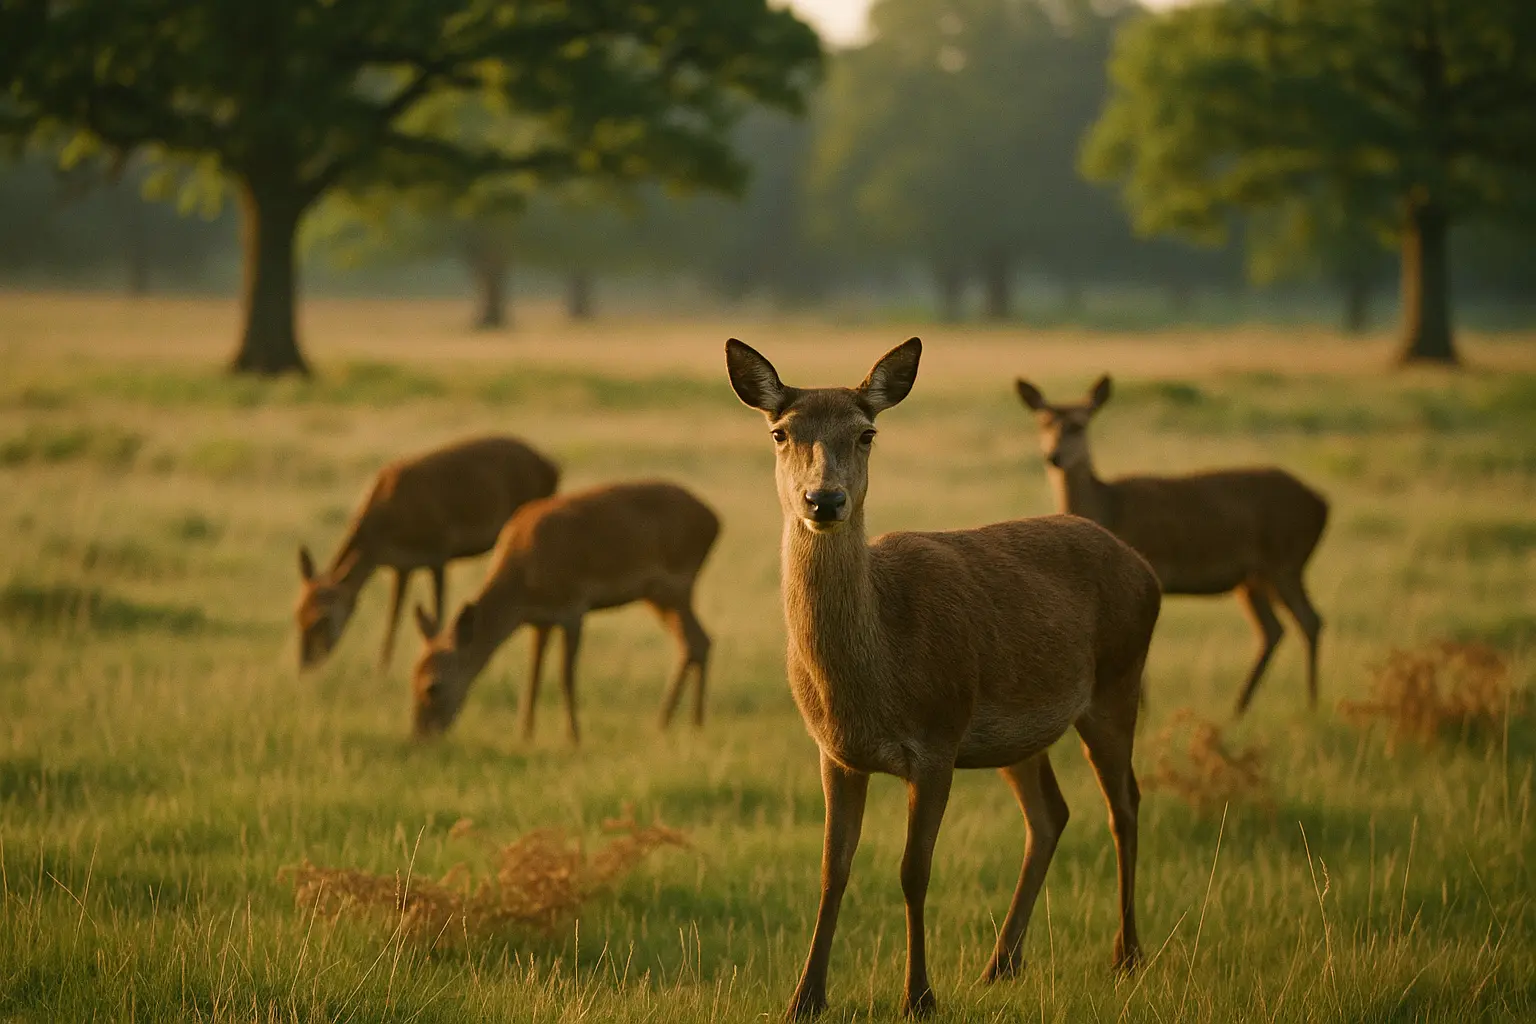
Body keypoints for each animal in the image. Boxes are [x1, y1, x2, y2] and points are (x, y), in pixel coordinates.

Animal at [296, 435, 559, 673]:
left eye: (322, 619)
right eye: (298, 612)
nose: (306, 665)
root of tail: (553, 466)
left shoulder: (439, 550)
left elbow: (439, 612)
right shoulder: (402, 565)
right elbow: (394, 617)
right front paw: (382, 670)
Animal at [409, 480, 718, 742]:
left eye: (433, 686)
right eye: (412, 675)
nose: (420, 736)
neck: (523, 582)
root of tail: (715, 521)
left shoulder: (573, 607)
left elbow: (565, 675)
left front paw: (573, 737)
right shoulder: (539, 620)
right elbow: (532, 674)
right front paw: (524, 735)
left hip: (677, 583)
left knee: (695, 640)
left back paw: (681, 723)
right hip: (658, 595)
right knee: (695, 641)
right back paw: (679, 723)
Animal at [726, 338, 1162, 1020]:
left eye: (867, 432)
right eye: (780, 432)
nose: (824, 501)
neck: (872, 682)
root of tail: (1146, 571)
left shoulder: (936, 738)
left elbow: (914, 870)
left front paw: (920, 996)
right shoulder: (835, 752)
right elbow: (832, 869)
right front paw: (805, 998)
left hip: (1118, 681)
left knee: (1125, 805)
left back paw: (1127, 955)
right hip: (1019, 735)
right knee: (1051, 814)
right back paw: (1001, 964)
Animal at [1015, 375, 1329, 716]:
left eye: (1078, 424)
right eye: (1043, 422)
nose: (1053, 456)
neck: (1108, 508)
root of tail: (1322, 504)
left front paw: (1144, 711)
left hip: (1285, 560)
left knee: (1309, 620)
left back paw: (1311, 703)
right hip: (1254, 577)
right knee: (1273, 629)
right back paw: (1240, 708)